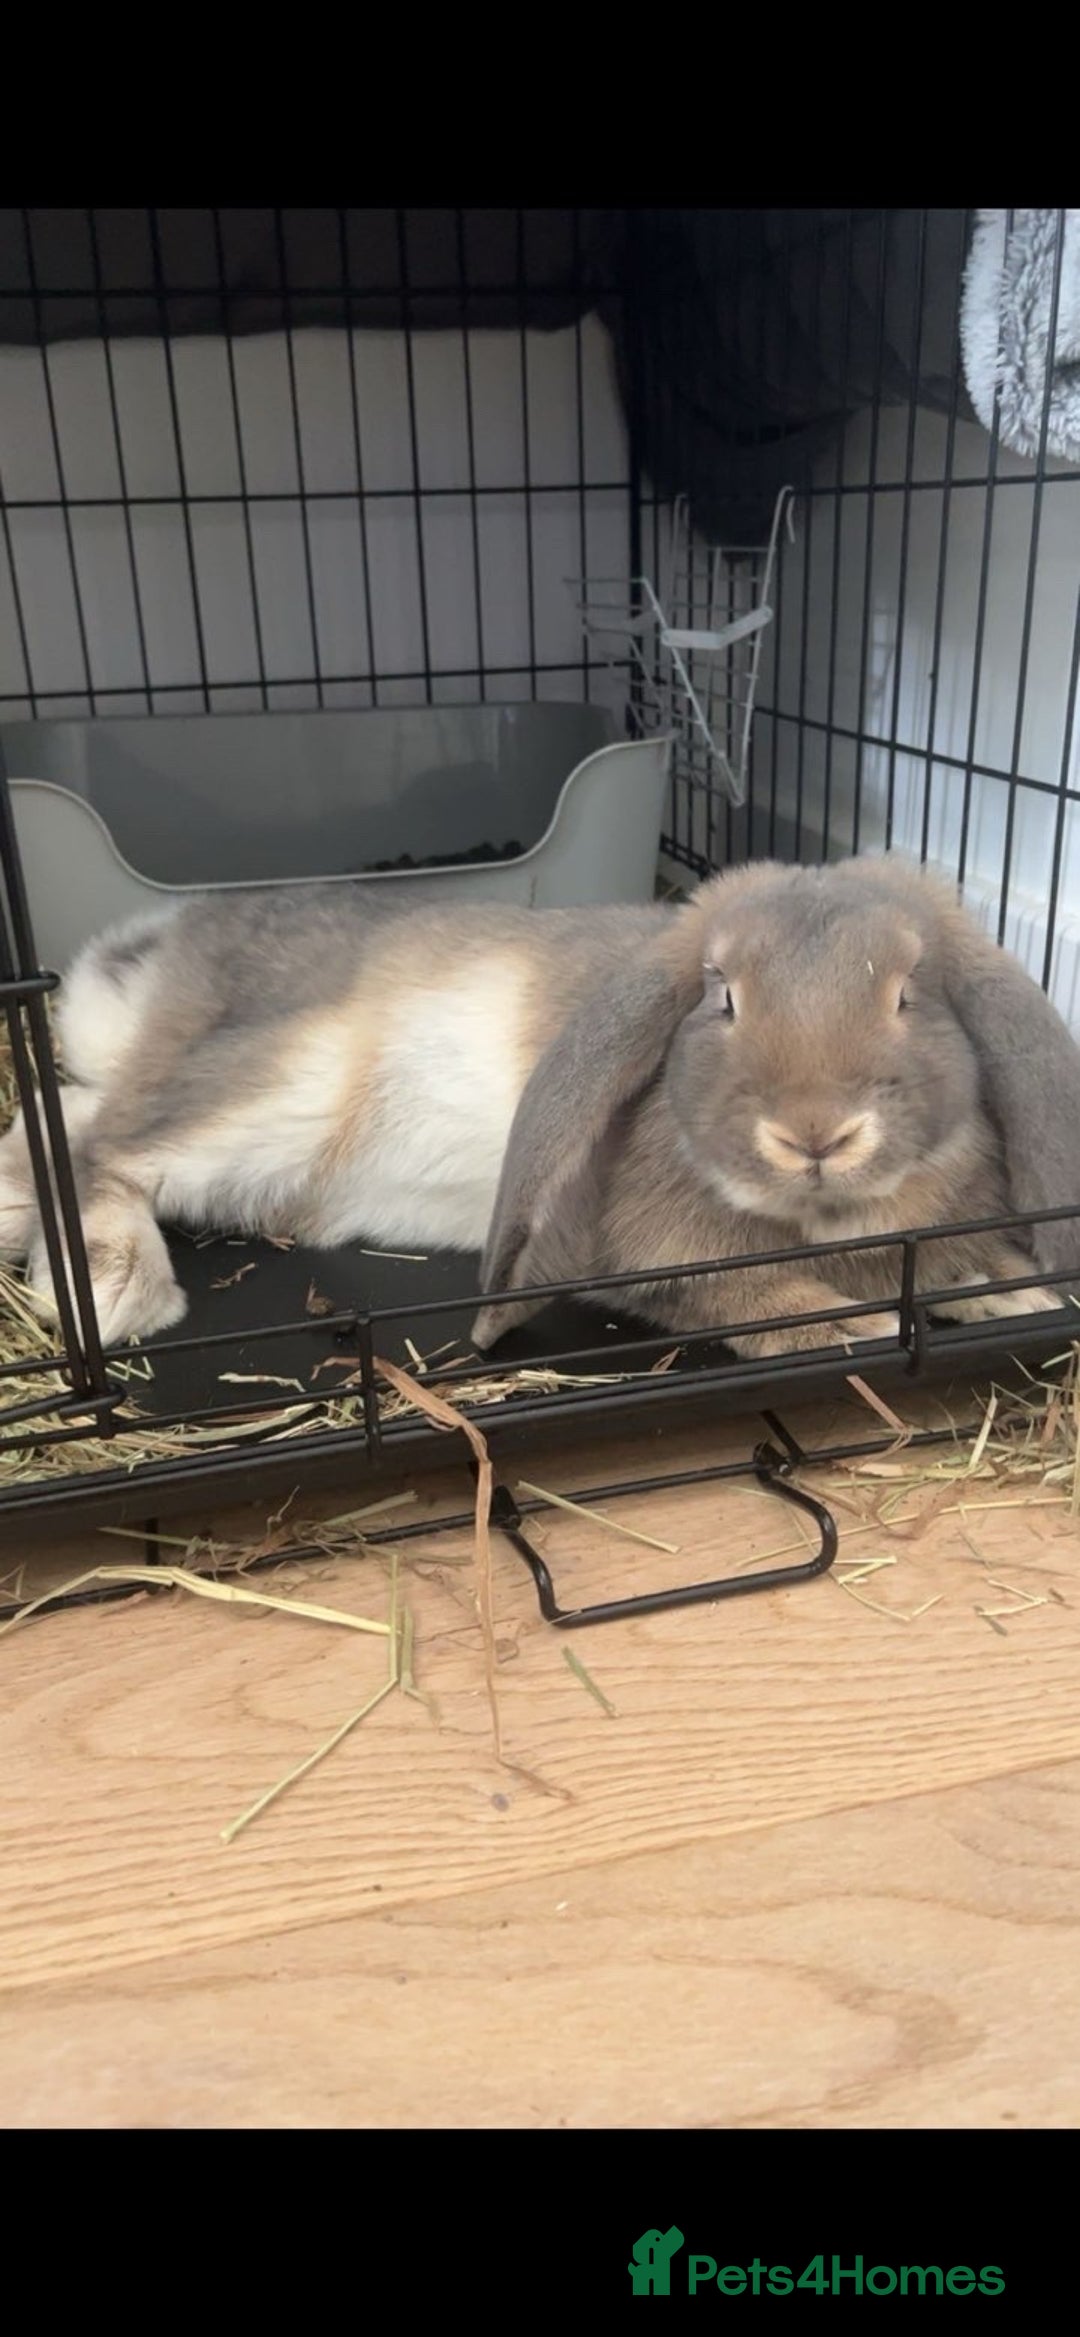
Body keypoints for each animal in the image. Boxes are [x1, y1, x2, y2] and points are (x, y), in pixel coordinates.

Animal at [0, 856, 1077, 1356]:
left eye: (909, 996)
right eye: (722, 997)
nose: (817, 1131)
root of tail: (171, 958)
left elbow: (965, 1262)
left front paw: (1019, 1294)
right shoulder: (640, 1248)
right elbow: (743, 1291)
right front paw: (852, 1329)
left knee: (71, 1113)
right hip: (285, 1088)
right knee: (106, 1144)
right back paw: (110, 1289)